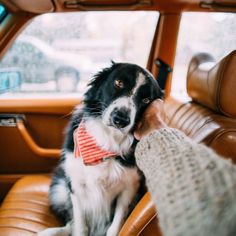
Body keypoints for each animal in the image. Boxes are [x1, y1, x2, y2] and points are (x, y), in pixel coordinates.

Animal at [39, 61, 163, 235]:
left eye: (146, 100)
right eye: (119, 83)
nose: (120, 119)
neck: (107, 142)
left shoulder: (129, 189)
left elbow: (115, 225)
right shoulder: (76, 184)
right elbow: (79, 224)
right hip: (59, 189)